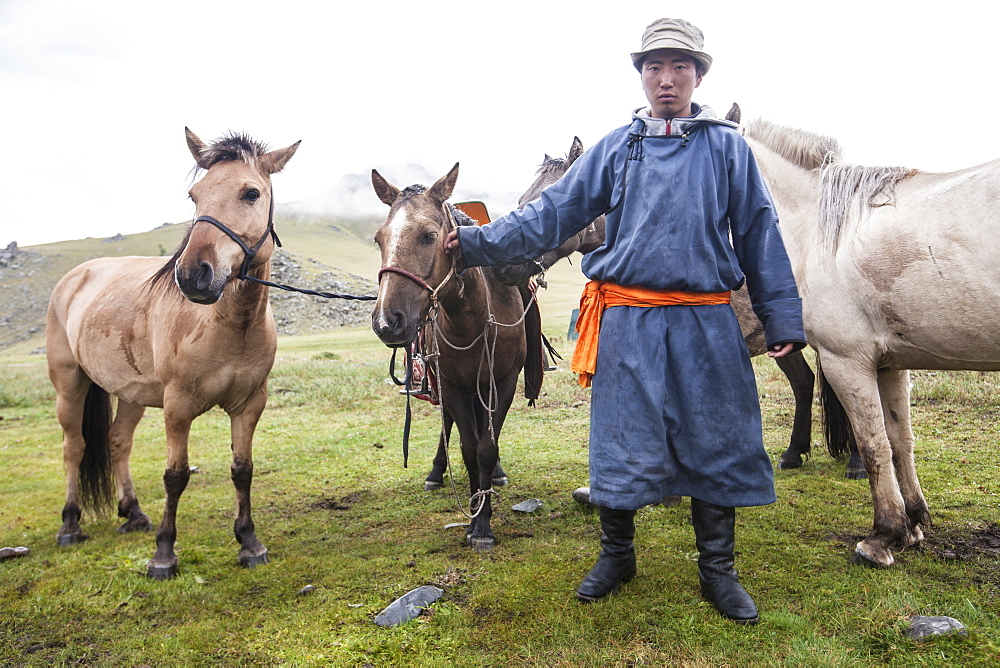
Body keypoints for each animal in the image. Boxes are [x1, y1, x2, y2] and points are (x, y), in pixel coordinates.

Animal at [47, 128, 296, 576]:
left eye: (251, 193)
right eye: (194, 196)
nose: (193, 275)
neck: (230, 326)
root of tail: (75, 277)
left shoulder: (250, 404)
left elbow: (243, 471)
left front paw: (249, 543)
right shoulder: (177, 406)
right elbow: (175, 476)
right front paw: (164, 553)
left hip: (130, 394)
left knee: (117, 442)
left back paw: (133, 513)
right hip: (69, 385)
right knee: (74, 447)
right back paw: (71, 524)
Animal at [372, 164, 528, 552]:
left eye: (429, 236)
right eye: (379, 239)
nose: (386, 322)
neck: (468, 320)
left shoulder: (503, 381)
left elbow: (487, 447)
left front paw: (483, 521)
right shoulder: (453, 384)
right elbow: (469, 448)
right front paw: (476, 517)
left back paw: (495, 475)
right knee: (449, 424)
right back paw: (435, 472)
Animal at [744, 117, 1000, 568]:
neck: (819, 229)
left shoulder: (846, 361)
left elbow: (873, 444)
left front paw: (883, 536)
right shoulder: (889, 364)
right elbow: (900, 441)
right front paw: (912, 524)